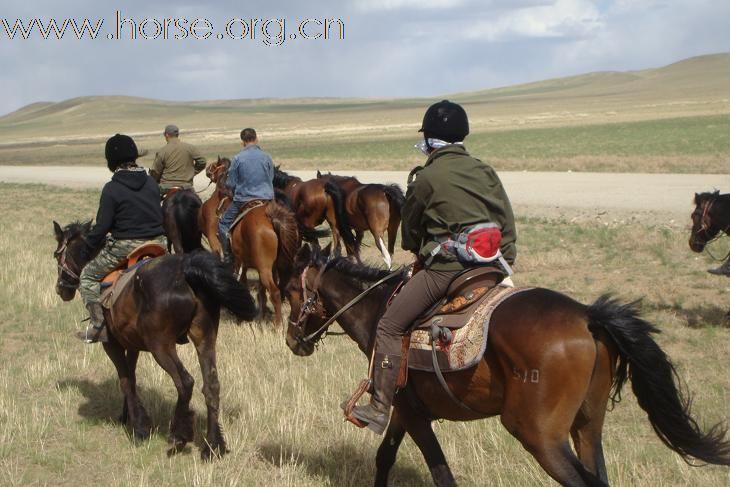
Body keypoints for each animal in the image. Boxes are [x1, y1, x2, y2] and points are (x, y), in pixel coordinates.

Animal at [52, 223, 256, 460]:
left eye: (58, 254)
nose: (61, 289)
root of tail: (184, 271)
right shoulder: (132, 345)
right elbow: (131, 378)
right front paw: (128, 417)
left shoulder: (111, 344)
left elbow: (125, 380)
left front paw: (140, 428)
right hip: (205, 338)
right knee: (211, 385)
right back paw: (213, 446)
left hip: (161, 346)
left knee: (185, 382)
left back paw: (179, 436)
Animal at [284, 246, 728, 486]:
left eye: (290, 289)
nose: (292, 340)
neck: (380, 309)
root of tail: (587, 316)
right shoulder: (405, 411)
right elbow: (384, 457)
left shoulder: (412, 415)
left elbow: (440, 472)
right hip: (587, 428)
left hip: (539, 436)